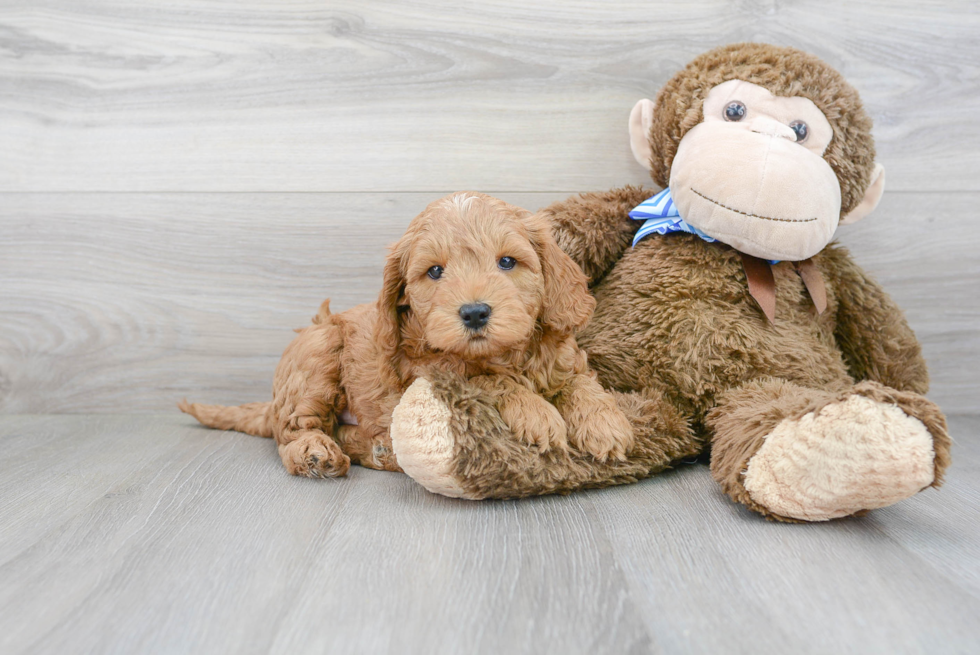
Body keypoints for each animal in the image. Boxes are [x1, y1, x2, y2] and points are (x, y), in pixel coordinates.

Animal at [182, 192, 636, 480]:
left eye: (508, 262)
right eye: (434, 271)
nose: (474, 312)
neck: (504, 353)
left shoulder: (566, 359)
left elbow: (581, 383)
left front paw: (605, 424)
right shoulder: (426, 374)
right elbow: (487, 381)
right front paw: (537, 413)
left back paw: (376, 450)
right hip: (318, 350)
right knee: (292, 430)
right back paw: (315, 454)